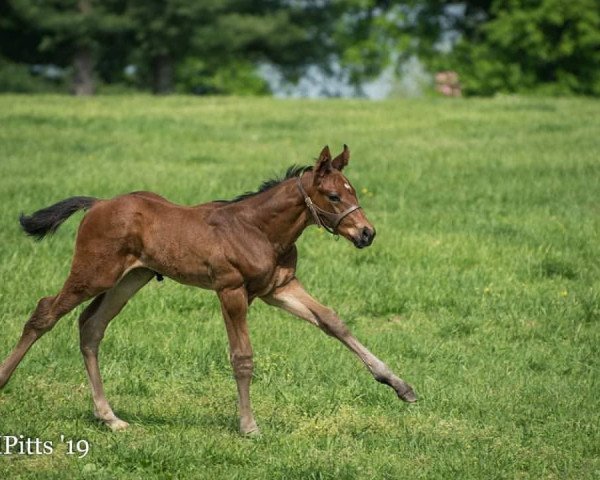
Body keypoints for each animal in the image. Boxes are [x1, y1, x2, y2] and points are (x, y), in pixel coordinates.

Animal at [0, 144, 414, 434]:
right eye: (333, 196)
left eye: (353, 191)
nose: (366, 233)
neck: (258, 229)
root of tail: (98, 204)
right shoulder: (231, 290)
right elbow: (242, 356)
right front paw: (249, 426)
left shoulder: (278, 287)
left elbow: (333, 322)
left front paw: (400, 385)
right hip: (94, 273)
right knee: (45, 312)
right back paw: (6, 381)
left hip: (131, 278)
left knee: (91, 326)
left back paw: (110, 417)